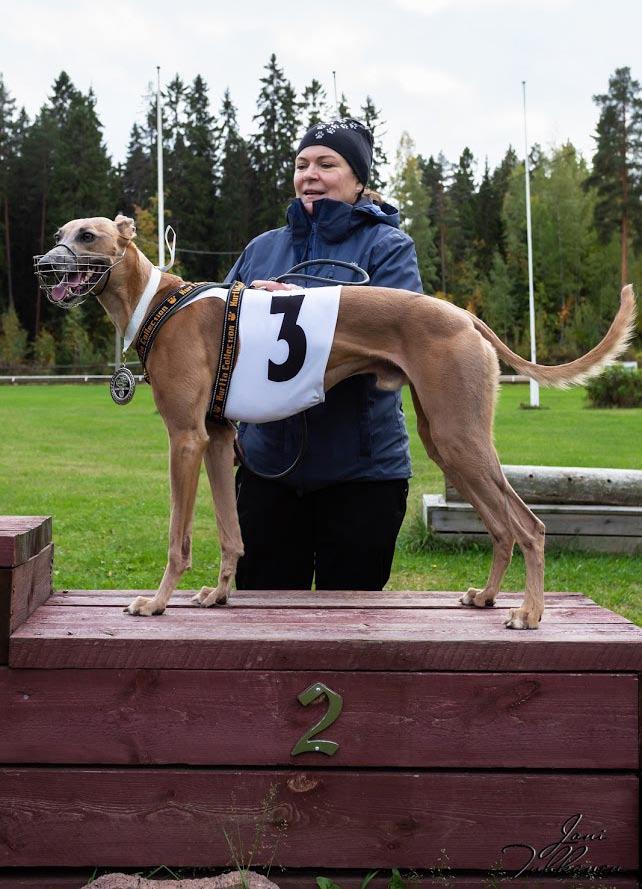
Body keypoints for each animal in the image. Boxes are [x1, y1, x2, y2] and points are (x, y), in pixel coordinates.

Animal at [36, 216, 636, 628]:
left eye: (87, 235)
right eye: (61, 232)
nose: (43, 264)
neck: (158, 302)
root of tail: (465, 316)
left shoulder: (184, 439)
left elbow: (178, 539)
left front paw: (158, 602)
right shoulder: (217, 440)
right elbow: (232, 534)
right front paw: (220, 593)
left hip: (462, 438)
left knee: (530, 526)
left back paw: (529, 613)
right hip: (446, 441)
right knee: (503, 527)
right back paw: (487, 598)